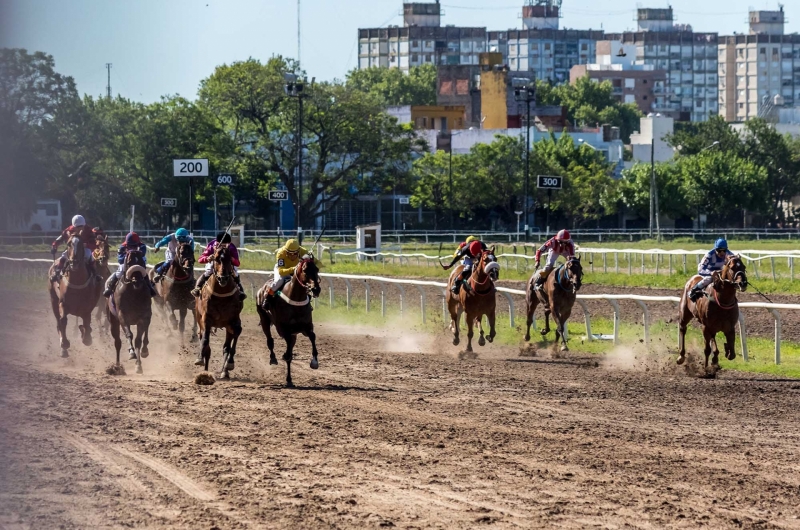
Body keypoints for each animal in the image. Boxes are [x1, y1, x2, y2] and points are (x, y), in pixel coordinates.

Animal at [48, 226, 102, 354]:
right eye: (68, 244)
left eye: (82, 244)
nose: (74, 262)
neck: (77, 282)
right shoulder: (62, 303)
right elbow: (63, 320)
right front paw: (65, 343)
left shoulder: (87, 307)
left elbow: (87, 323)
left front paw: (86, 337)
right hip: (53, 299)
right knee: (58, 321)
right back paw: (63, 349)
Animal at [195, 245, 242, 378]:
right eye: (216, 259)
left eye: (229, 259)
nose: (223, 278)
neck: (221, 294)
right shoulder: (207, 318)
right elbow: (205, 341)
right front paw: (199, 359)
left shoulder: (233, 320)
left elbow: (236, 335)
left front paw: (230, 364)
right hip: (199, 318)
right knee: (203, 339)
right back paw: (205, 368)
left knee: (226, 346)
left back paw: (224, 372)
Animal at [255, 254, 320, 386]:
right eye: (305, 270)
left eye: (317, 269)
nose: (316, 289)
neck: (295, 300)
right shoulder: (283, 329)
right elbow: (289, 353)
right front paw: (288, 377)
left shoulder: (306, 327)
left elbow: (312, 336)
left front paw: (314, 362)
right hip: (264, 319)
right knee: (270, 341)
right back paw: (273, 359)